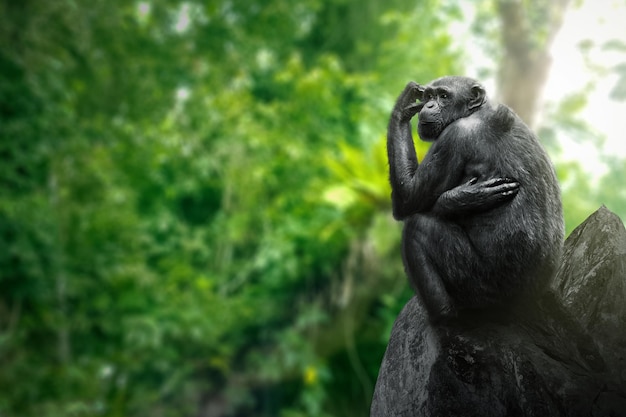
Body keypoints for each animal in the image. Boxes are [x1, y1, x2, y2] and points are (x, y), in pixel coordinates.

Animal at [388, 75, 564, 322]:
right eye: (429, 96)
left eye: (443, 96)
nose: (428, 106)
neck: (477, 112)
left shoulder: (454, 136)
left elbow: (408, 199)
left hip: (480, 286)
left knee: (418, 227)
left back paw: (444, 316)